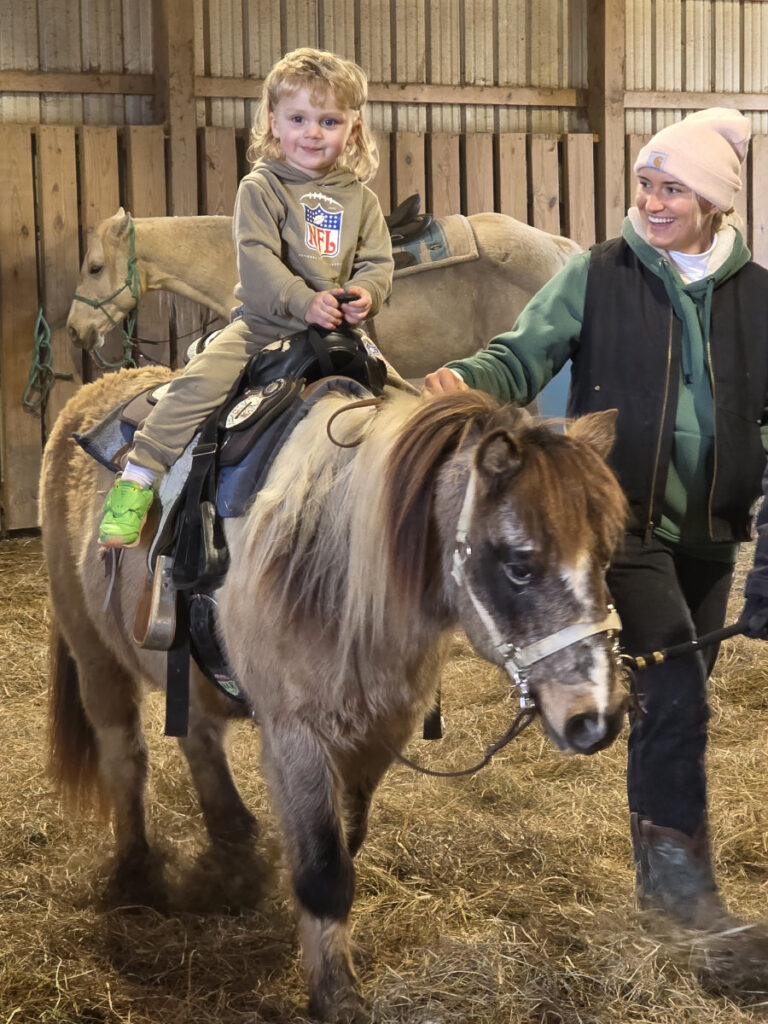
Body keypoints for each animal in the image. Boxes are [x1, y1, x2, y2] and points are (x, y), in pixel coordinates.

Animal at [42, 366, 628, 1022]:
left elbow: (346, 841)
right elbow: (324, 872)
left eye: (606, 555)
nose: (597, 718)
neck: (340, 571)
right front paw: (336, 995)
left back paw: (234, 840)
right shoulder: (298, 737)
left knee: (198, 737)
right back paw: (137, 873)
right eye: (520, 565)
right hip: (94, 654)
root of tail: (92, 391)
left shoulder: (376, 734)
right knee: (125, 756)